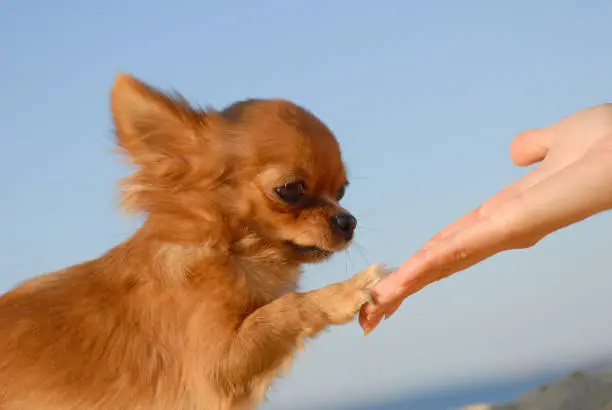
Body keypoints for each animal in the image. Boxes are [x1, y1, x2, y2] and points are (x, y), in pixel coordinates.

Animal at [0, 74, 388, 410]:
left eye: (341, 191)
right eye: (290, 189)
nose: (348, 221)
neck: (228, 251)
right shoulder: (215, 369)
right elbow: (282, 309)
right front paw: (345, 292)